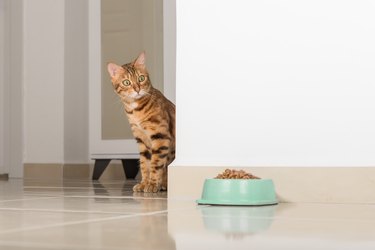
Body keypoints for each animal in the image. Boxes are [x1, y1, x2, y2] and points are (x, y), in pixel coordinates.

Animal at [106, 51, 176, 193]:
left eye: (141, 78)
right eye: (126, 82)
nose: (137, 89)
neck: (136, 111)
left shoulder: (160, 137)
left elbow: (155, 163)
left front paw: (153, 184)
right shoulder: (141, 140)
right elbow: (145, 164)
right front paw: (144, 183)